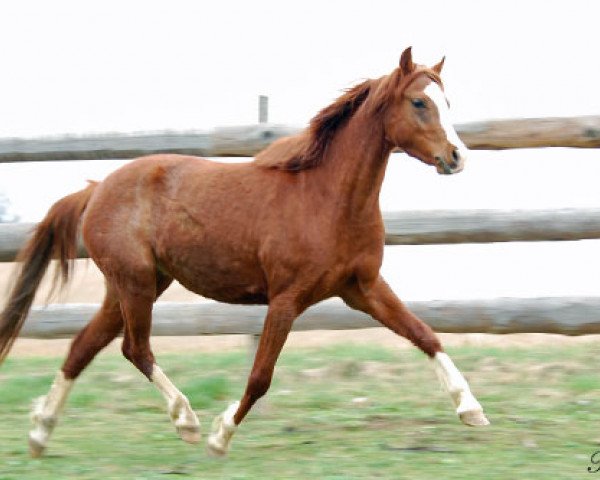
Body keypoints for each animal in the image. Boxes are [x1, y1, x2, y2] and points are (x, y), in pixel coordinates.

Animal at [0, 48, 488, 458]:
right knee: (134, 349)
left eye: (447, 102)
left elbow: (425, 334)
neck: (328, 199)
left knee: (83, 347)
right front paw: (220, 436)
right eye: (419, 103)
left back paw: (40, 433)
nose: (457, 156)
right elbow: (260, 376)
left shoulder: (362, 287)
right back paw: (187, 421)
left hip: (135, 285)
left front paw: (472, 411)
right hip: (134, 283)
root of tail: (97, 188)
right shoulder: (286, 299)